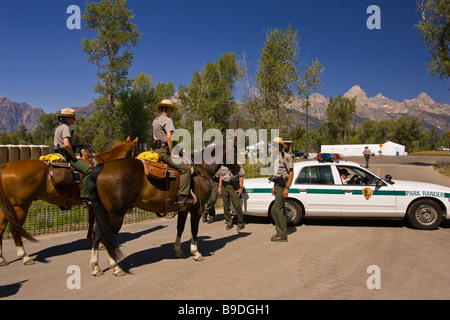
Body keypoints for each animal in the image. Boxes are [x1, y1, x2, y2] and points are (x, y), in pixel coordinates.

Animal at [0, 137, 138, 264]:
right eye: (135, 151)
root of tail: (6, 166)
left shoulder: (92, 204)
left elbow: (91, 221)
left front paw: (90, 241)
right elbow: (96, 222)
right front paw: (99, 244)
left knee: (1, 228)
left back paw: (2, 259)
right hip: (20, 206)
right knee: (14, 228)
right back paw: (25, 256)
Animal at [85, 142, 239, 276]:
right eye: (235, 152)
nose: (238, 169)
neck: (202, 169)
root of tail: (102, 167)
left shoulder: (183, 208)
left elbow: (180, 228)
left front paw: (178, 251)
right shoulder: (196, 209)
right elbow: (194, 230)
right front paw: (196, 252)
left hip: (104, 212)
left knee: (97, 233)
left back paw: (95, 267)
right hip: (116, 214)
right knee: (110, 236)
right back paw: (115, 267)